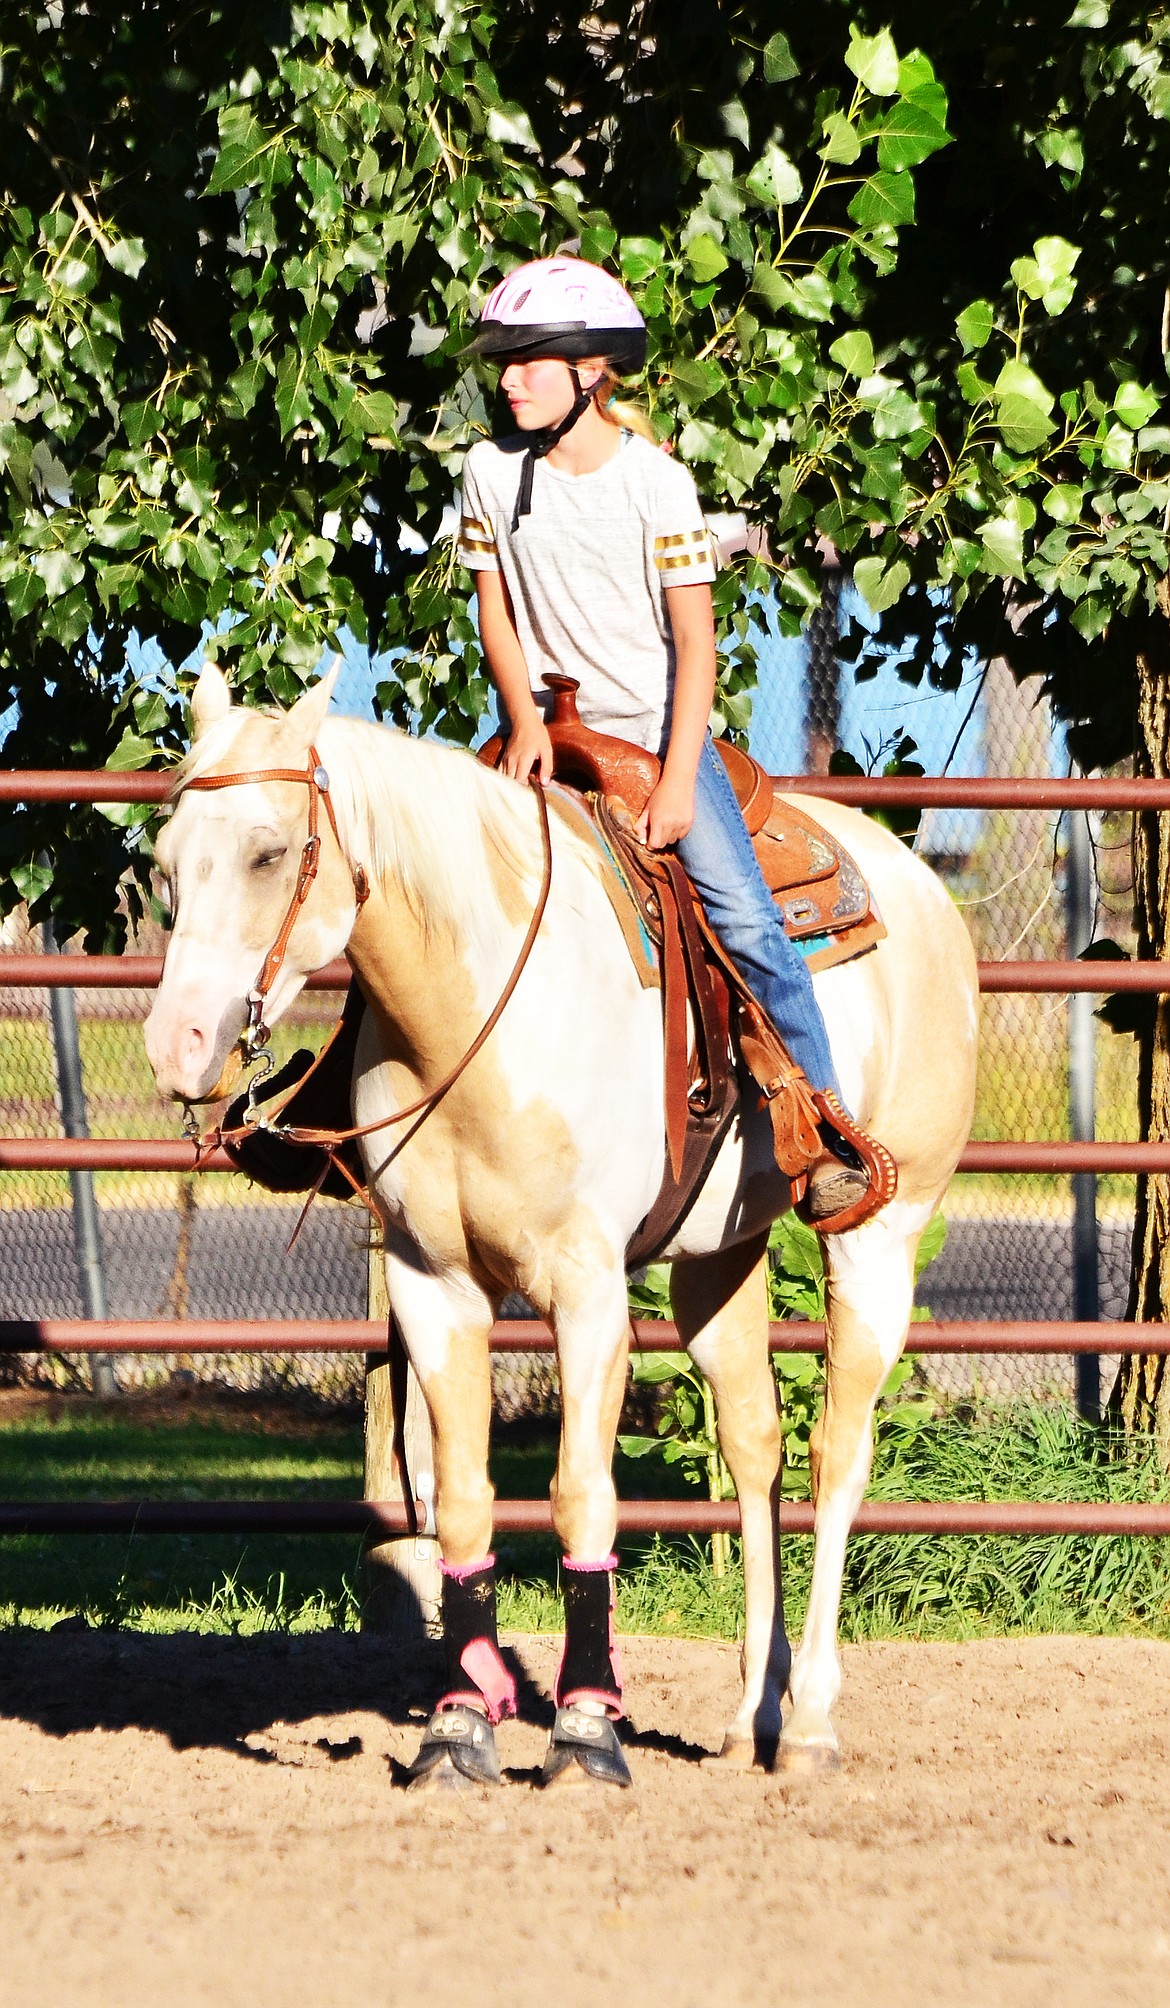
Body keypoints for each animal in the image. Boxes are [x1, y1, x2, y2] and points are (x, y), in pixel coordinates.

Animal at [144, 670, 979, 1791]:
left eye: (270, 853)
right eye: (166, 861)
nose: (177, 1046)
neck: (472, 1010)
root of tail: (919, 886)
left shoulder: (587, 1292)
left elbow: (583, 1493)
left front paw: (584, 1733)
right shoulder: (433, 1287)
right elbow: (462, 1500)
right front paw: (457, 1730)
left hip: (881, 1237)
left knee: (838, 1451)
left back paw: (807, 1724)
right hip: (718, 1260)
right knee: (754, 1443)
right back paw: (748, 1717)